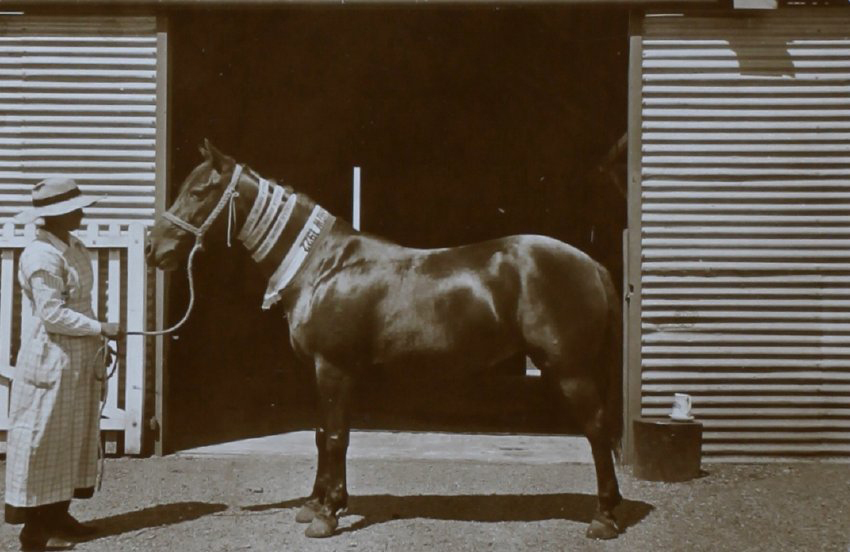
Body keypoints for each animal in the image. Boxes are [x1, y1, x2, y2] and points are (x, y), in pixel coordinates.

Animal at [145, 139, 624, 540]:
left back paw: (603, 518)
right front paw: (315, 504)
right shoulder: (320, 372)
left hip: (569, 370)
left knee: (597, 429)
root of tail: (592, 265)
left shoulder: (334, 369)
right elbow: (320, 434)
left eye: (200, 191)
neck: (323, 266)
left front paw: (326, 516)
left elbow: (336, 437)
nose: (154, 249)